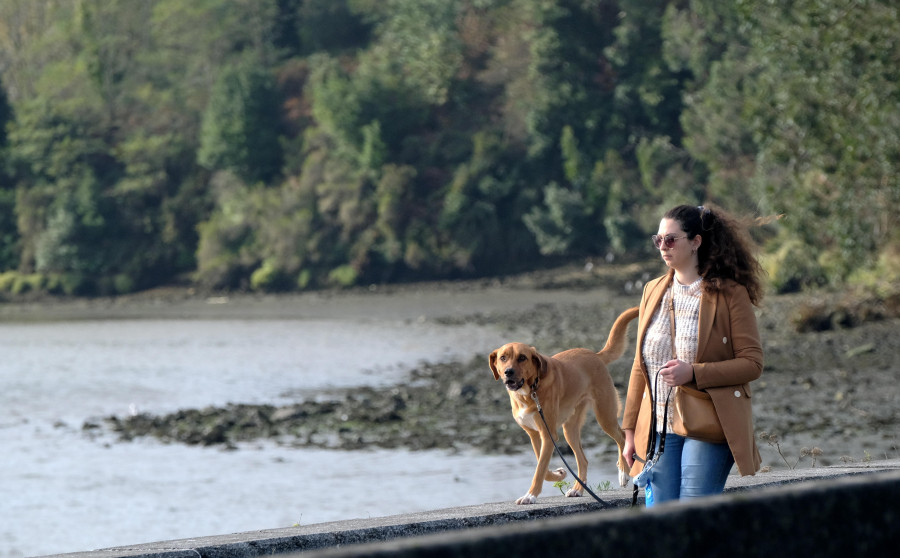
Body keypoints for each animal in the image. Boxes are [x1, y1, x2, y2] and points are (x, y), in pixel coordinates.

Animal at [492, 308, 640, 506]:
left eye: (522, 358)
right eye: (503, 358)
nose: (508, 372)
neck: (531, 391)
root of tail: (595, 355)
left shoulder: (548, 435)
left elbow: (540, 469)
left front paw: (530, 495)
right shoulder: (535, 435)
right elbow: (542, 466)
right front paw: (558, 474)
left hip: (605, 416)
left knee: (622, 437)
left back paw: (623, 472)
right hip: (570, 429)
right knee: (583, 460)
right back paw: (578, 489)